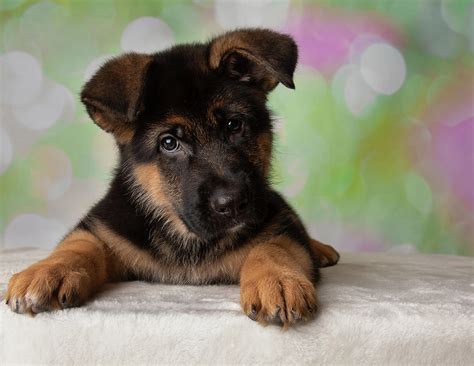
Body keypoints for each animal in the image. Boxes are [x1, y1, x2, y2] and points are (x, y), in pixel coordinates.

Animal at [3, 28, 338, 326]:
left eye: (234, 125)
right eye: (169, 142)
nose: (232, 204)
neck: (187, 238)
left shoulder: (278, 222)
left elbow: (273, 247)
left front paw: (278, 281)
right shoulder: (104, 228)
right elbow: (78, 246)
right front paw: (46, 272)